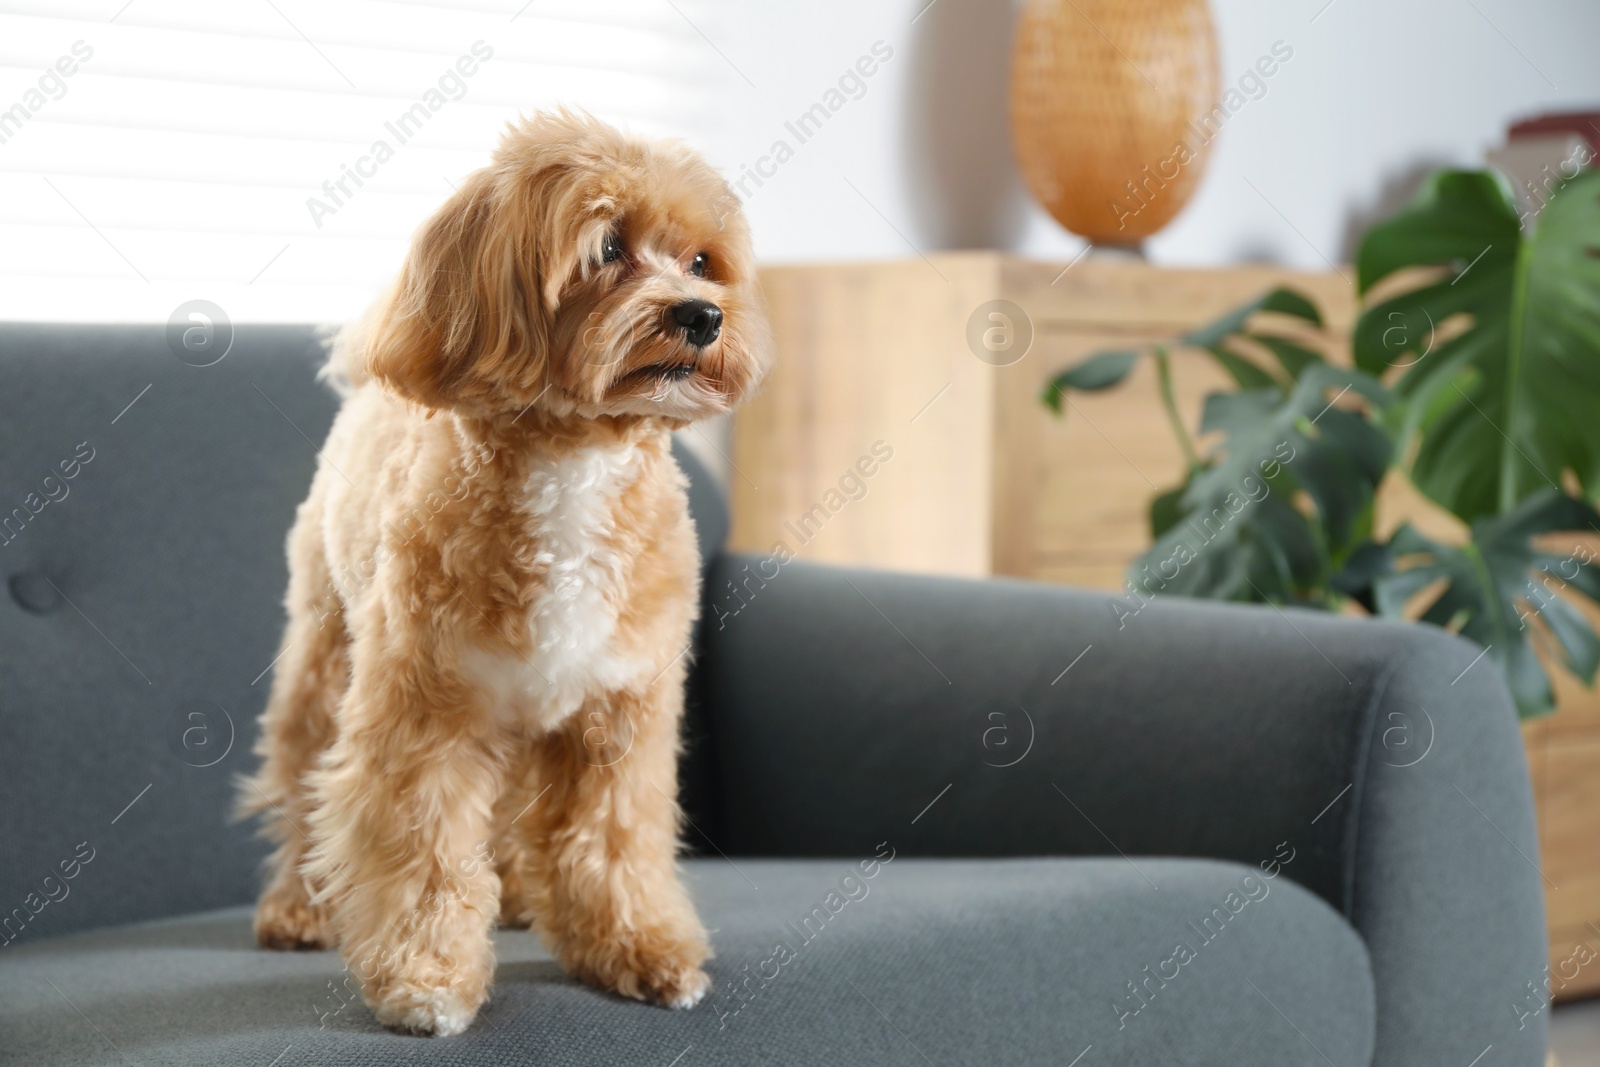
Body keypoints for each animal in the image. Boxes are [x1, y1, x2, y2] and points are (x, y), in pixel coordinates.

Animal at [236, 112, 774, 1036]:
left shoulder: (618, 715)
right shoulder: (426, 712)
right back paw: (298, 906)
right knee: (304, 781)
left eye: (704, 261)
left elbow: (614, 838)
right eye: (607, 248)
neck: (577, 463)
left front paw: (638, 950)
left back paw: (522, 896)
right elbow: (421, 846)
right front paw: (425, 978)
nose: (702, 316)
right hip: (325, 656)